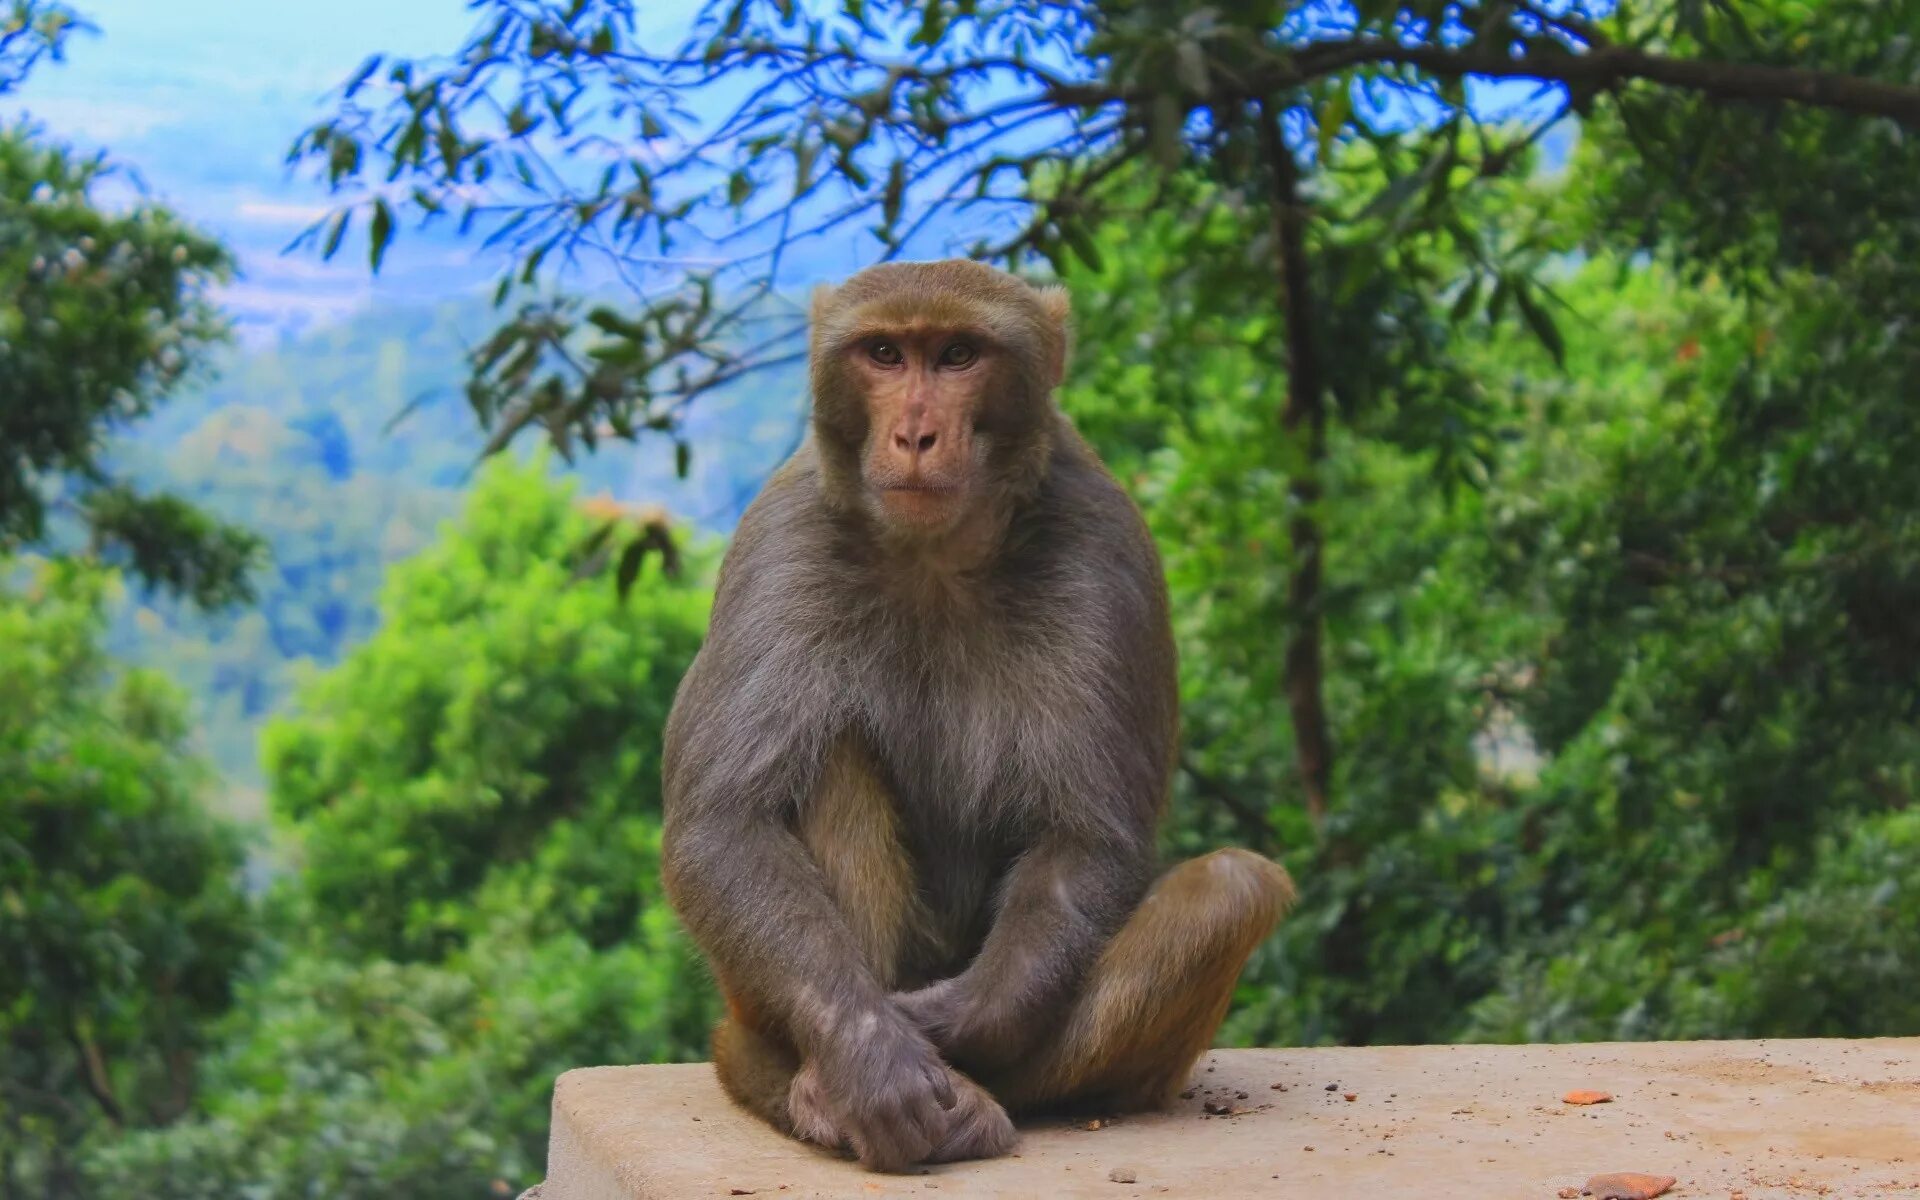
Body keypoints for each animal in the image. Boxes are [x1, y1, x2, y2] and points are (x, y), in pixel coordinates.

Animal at [656, 259, 1290, 1167]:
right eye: (885, 353)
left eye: (958, 355)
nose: (916, 434)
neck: (935, 555)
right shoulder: (783, 535)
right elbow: (723, 822)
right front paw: (876, 1058)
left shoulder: (1102, 541)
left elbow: (1087, 836)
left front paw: (942, 1020)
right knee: (826, 759)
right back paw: (814, 1090)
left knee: (1232, 888)